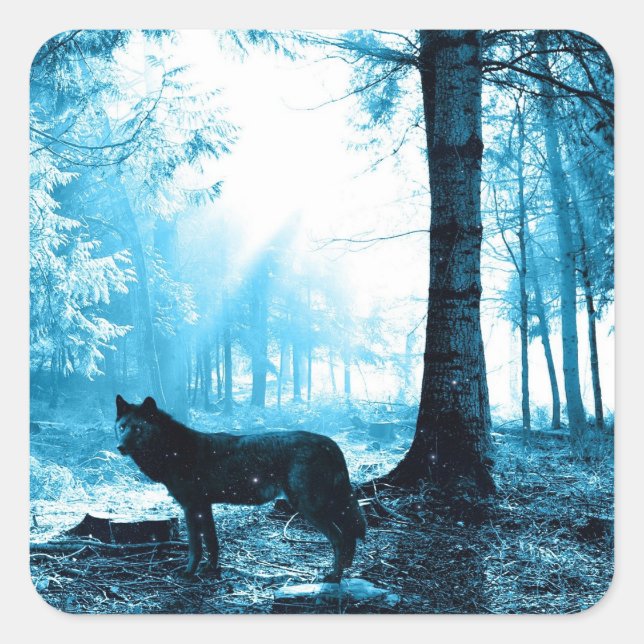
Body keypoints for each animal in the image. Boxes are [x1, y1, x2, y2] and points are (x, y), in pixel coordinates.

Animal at [115, 395, 366, 581]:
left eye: (137, 429)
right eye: (122, 427)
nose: (119, 447)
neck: (174, 451)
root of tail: (330, 443)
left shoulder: (191, 507)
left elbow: (195, 546)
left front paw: (189, 573)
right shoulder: (204, 506)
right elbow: (212, 542)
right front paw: (211, 569)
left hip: (309, 508)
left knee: (339, 538)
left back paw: (334, 576)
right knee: (349, 535)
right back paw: (346, 569)